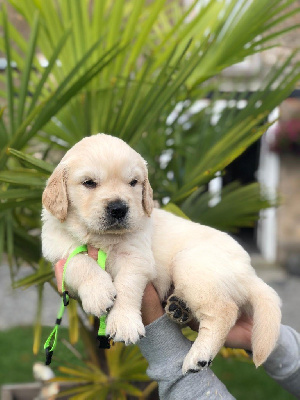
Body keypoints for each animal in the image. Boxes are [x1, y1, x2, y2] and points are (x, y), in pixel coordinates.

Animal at [42, 133, 282, 374]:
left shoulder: (137, 257)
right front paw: (98, 292)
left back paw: (199, 355)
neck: (101, 238)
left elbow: (127, 286)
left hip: (192, 265)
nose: (119, 208)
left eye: (133, 182)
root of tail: (249, 272)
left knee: (224, 311)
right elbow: (79, 263)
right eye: (89, 183)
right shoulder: (59, 252)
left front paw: (124, 323)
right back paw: (179, 308)